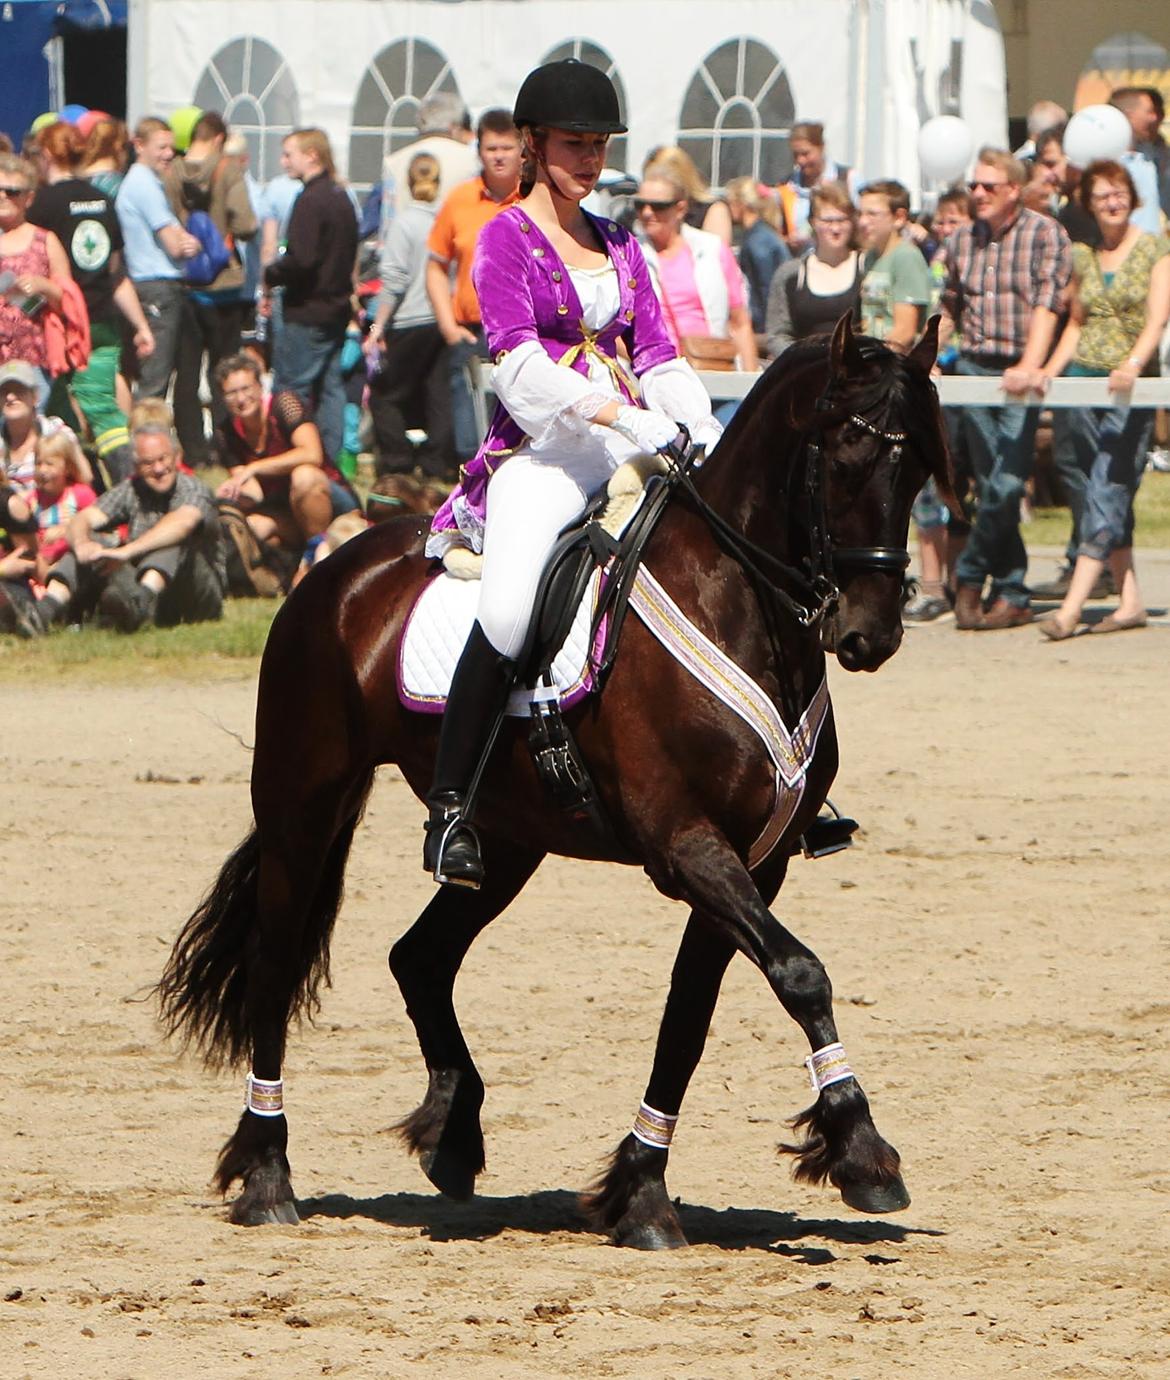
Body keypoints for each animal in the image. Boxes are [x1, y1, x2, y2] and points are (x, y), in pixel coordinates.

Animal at [160, 317, 954, 1247]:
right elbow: (801, 974)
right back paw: (266, 1173)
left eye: (922, 469)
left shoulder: (754, 864)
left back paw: (452, 1135)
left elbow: (690, 1017)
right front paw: (861, 1151)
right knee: (277, 961)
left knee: (418, 956)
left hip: (505, 842)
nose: (870, 634)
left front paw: (642, 1190)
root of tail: (332, 572)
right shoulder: (686, 844)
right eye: (848, 457)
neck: (735, 601)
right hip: (304, 805)